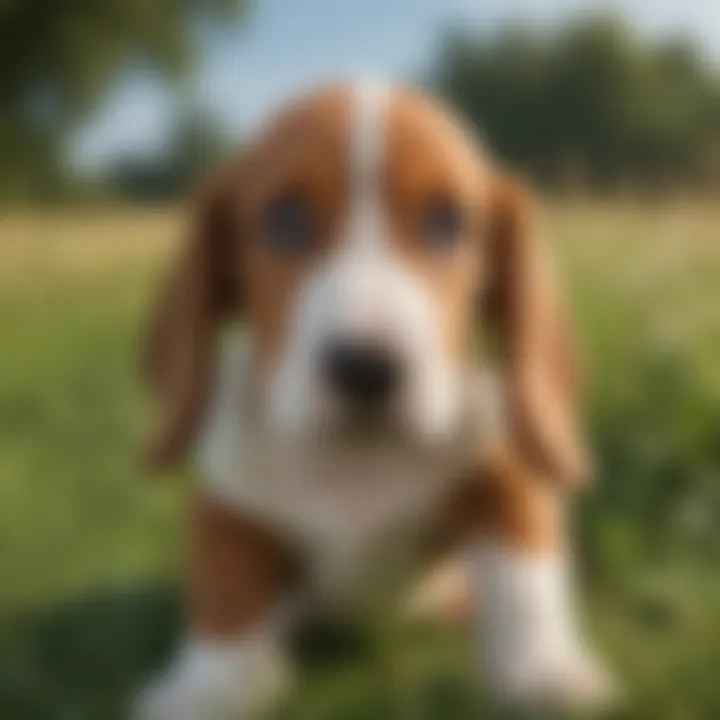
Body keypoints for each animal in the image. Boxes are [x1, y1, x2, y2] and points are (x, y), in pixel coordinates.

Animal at [138, 81, 616, 716]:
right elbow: (227, 604)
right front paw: (207, 689)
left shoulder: (502, 476)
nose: (366, 367)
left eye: (445, 221)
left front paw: (545, 670)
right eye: (284, 219)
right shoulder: (229, 507)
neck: (357, 460)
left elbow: (525, 581)